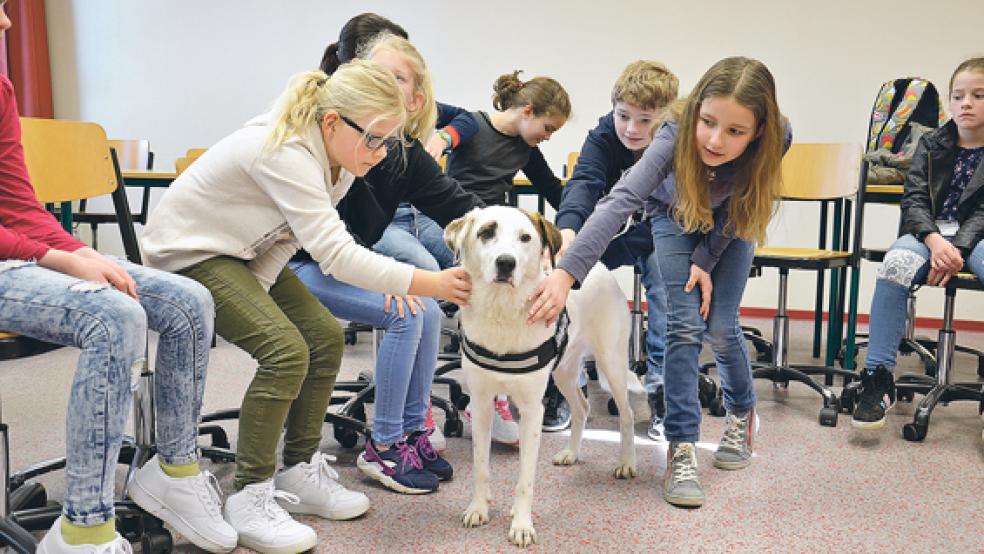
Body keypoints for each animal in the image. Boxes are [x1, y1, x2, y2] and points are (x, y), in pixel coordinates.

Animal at [444, 204, 640, 544]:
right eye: (486, 232)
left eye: (525, 238)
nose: (506, 263)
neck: (502, 311)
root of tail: (600, 267)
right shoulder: (481, 404)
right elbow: (481, 466)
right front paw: (479, 508)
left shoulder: (531, 410)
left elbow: (525, 479)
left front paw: (521, 524)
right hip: (564, 370)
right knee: (582, 407)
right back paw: (571, 453)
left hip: (611, 362)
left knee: (626, 413)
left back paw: (627, 463)